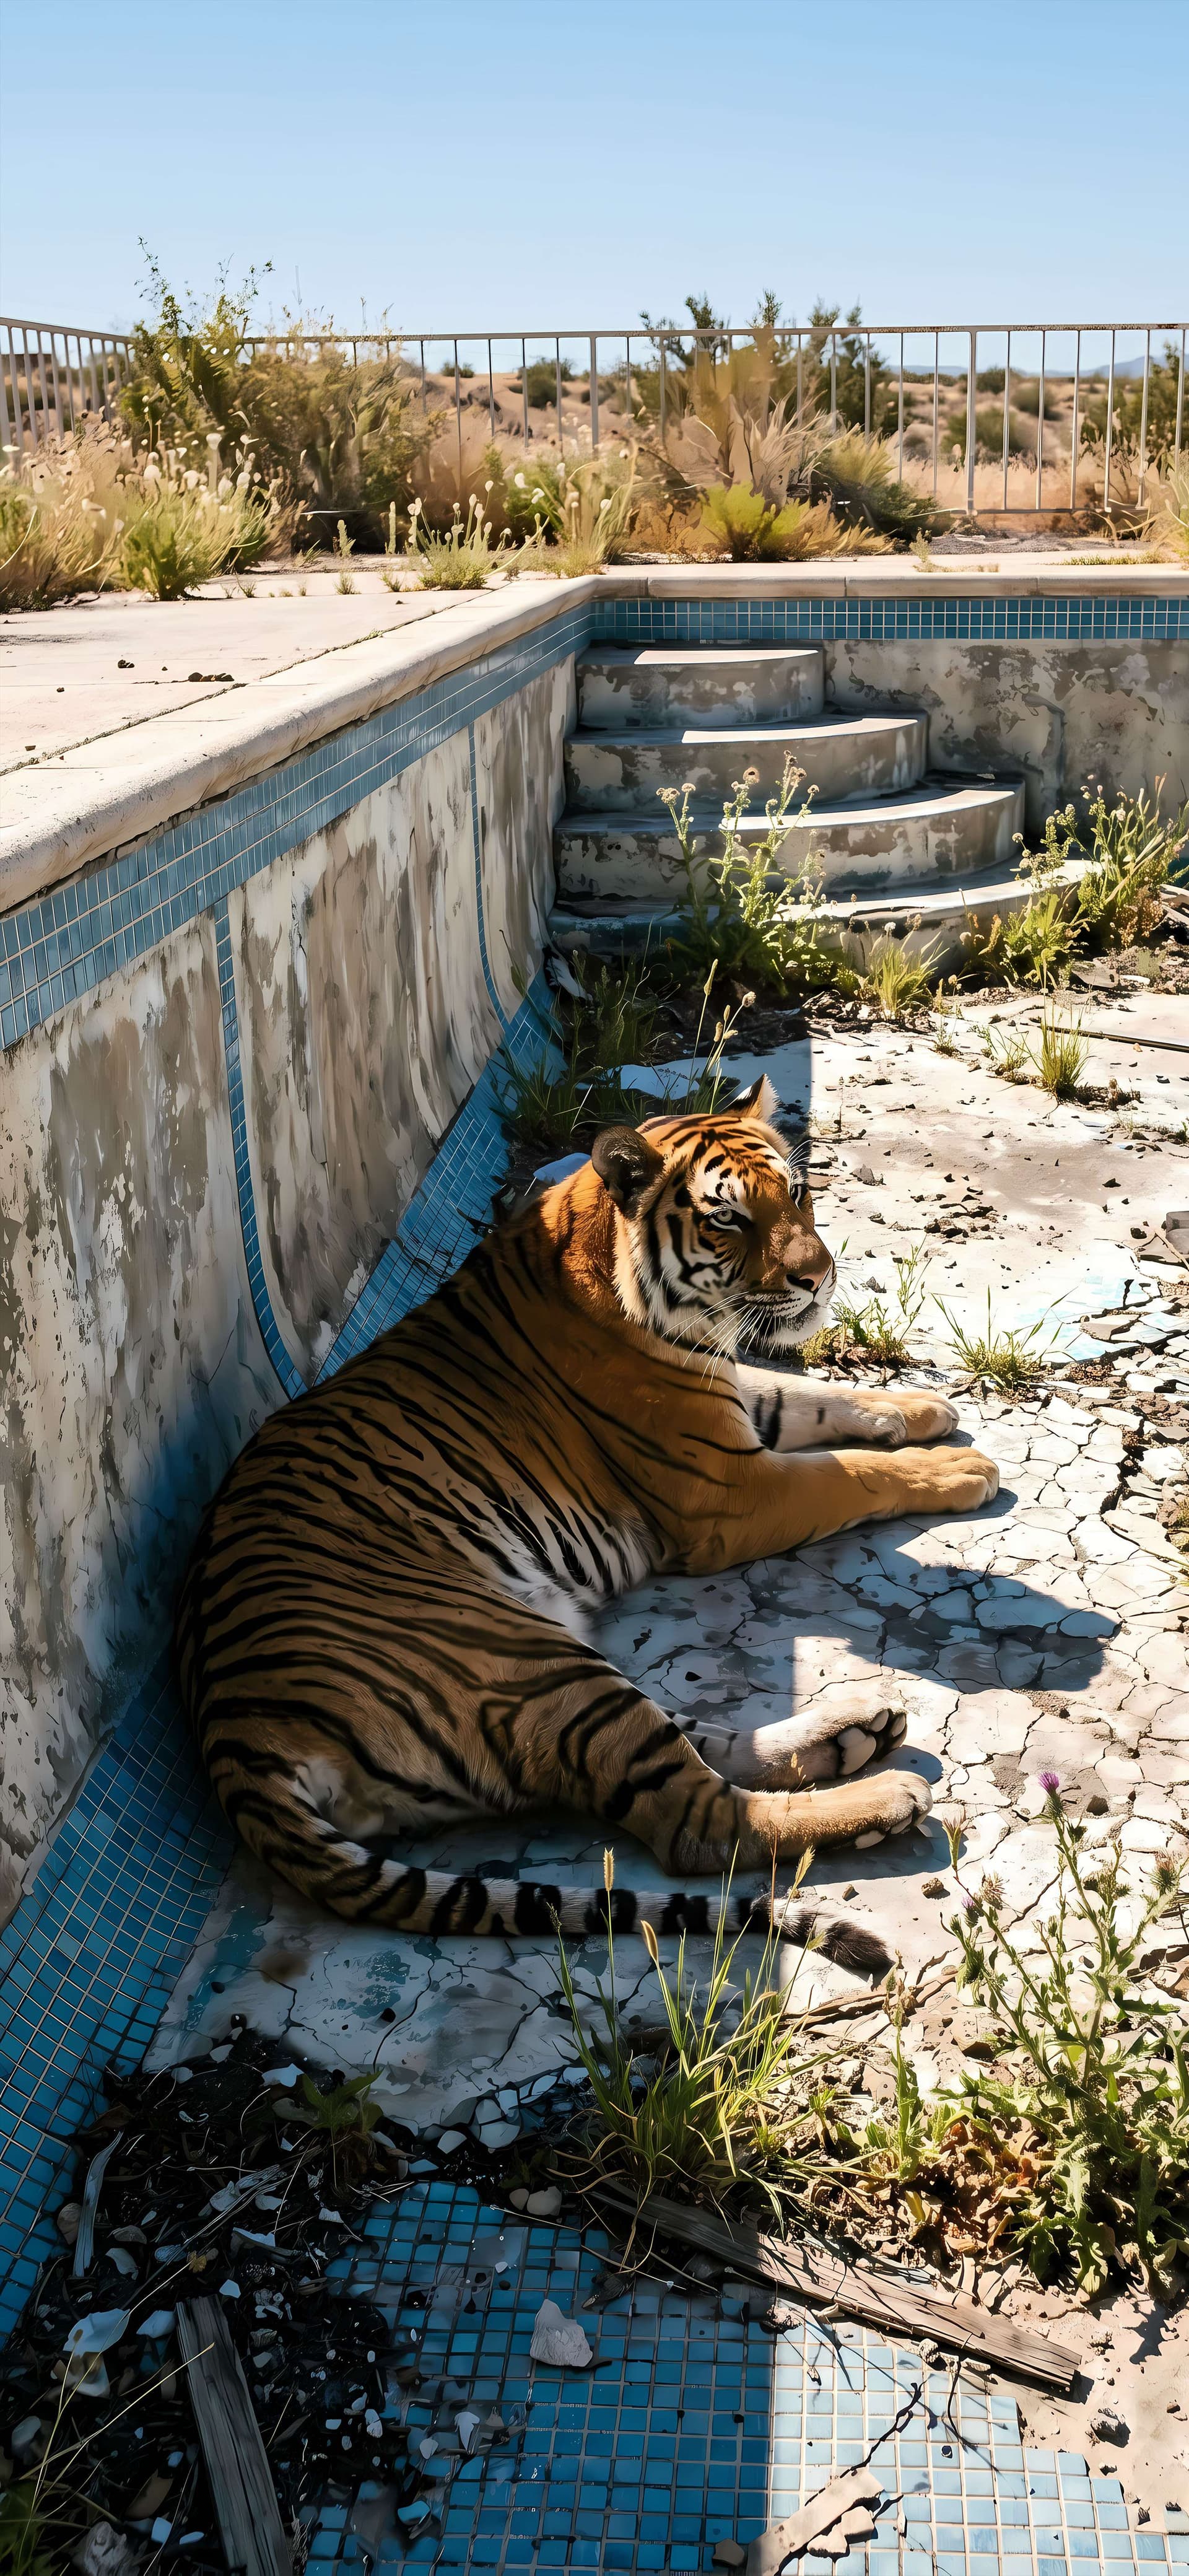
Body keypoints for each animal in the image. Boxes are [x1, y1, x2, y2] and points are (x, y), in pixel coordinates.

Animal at [176, 1075, 998, 1982]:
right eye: (728, 1219)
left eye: (797, 1193)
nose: (818, 1278)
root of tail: (233, 1737)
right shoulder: (731, 1490)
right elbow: (847, 1471)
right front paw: (962, 1468)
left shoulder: (734, 1405)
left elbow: (818, 1398)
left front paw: (923, 1407)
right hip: (529, 1662)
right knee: (701, 1822)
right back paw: (884, 1793)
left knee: (703, 1746)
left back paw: (855, 1730)